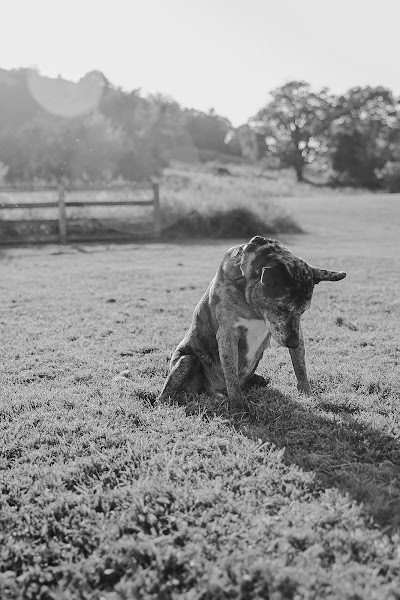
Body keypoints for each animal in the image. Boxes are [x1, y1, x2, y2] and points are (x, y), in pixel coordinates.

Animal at [159, 237, 346, 414]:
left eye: (303, 311)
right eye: (281, 308)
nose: (293, 343)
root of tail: (214, 390)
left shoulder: (294, 330)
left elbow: (300, 364)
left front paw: (306, 392)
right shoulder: (227, 334)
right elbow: (231, 374)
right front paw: (238, 406)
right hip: (187, 361)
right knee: (165, 396)